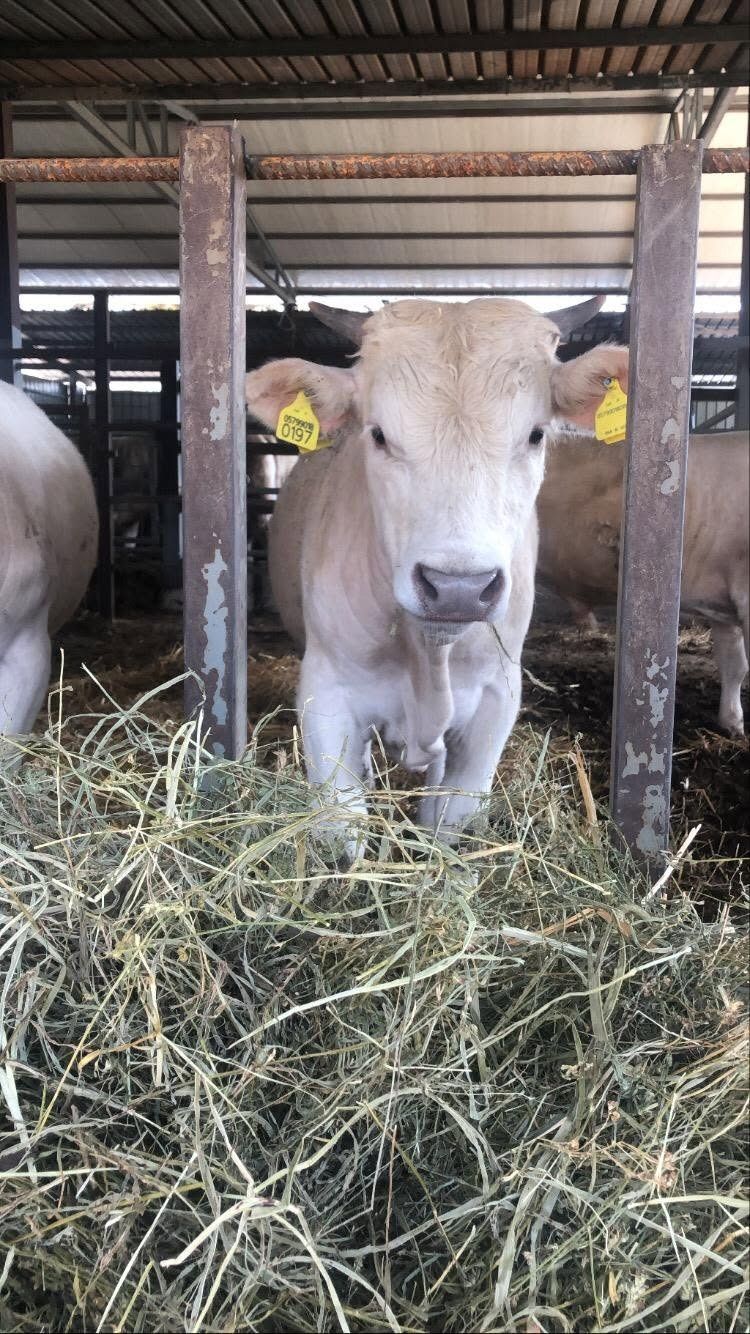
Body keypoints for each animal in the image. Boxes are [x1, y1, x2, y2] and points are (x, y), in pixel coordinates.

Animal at [245, 295, 627, 845]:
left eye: (536, 434)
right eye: (378, 434)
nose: (458, 588)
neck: (428, 655)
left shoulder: (495, 699)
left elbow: (451, 823)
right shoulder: (326, 692)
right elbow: (342, 831)